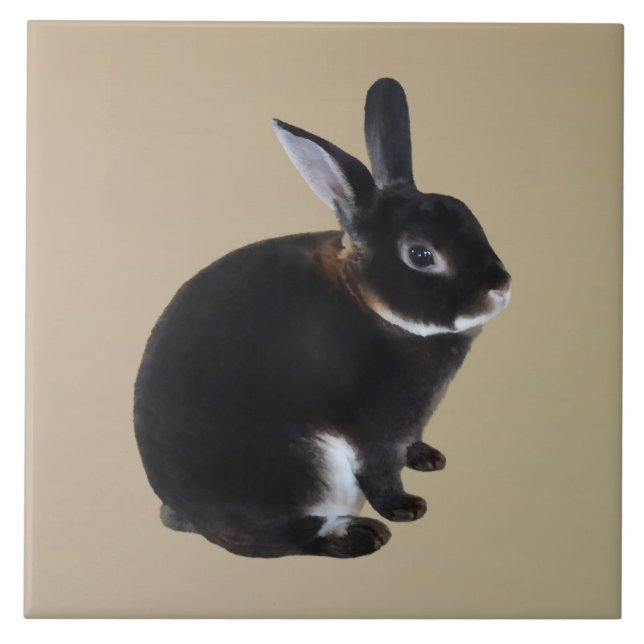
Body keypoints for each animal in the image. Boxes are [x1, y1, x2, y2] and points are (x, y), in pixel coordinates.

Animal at [133, 78, 511, 558]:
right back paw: (359, 535)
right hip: (302, 471)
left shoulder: (410, 423)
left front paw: (428, 458)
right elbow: (380, 472)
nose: (500, 286)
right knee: (284, 539)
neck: (369, 301)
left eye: (470, 217)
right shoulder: (373, 429)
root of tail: (187, 515)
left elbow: (409, 445)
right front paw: (406, 508)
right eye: (421, 255)